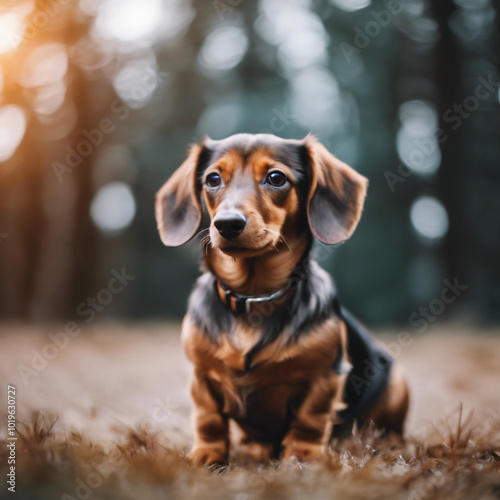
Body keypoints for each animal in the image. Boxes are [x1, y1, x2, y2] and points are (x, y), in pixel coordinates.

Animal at [154, 134, 408, 464]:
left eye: (276, 178)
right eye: (212, 179)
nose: (227, 224)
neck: (254, 297)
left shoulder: (324, 378)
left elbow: (310, 419)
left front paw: (302, 456)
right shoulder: (201, 375)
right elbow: (208, 418)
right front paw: (207, 455)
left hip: (397, 384)